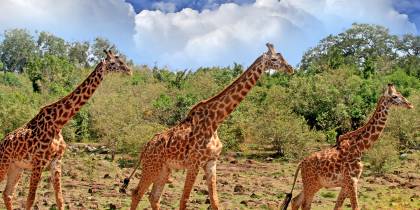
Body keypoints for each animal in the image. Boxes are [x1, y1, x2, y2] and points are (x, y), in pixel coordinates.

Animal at [0, 49, 131, 210]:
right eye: (114, 62)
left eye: (121, 59)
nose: (129, 70)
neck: (58, 123)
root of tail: (2, 143)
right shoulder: (38, 163)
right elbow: (30, 199)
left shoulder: (56, 161)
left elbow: (60, 199)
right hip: (4, 163)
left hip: (16, 167)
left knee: (7, 194)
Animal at [120, 42, 294, 210]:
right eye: (274, 59)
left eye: (282, 56)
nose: (290, 68)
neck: (215, 121)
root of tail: (146, 147)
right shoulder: (194, 163)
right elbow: (184, 201)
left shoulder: (211, 162)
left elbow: (215, 201)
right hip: (152, 167)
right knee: (137, 193)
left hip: (164, 169)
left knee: (153, 197)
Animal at [280, 84, 416, 210]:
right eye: (395, 96)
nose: (410, 105)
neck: (360, 148)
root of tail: (301, 163)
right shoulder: (352, 181)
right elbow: (355, 207)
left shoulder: (346, 183)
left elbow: (337, 207)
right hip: (311, 183)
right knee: (305, 204)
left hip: (315, 183)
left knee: (295, 200)